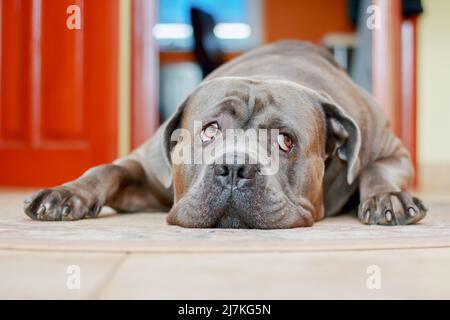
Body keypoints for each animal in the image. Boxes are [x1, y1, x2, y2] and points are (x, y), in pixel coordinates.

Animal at [22, 41, 428, 229]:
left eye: (285, 140)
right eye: (210, 130)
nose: (233, 168)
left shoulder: (391, 150)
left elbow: (377, 169)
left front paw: (388, 198)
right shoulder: (145, 166)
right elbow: (108, 168)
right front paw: (66, 193)